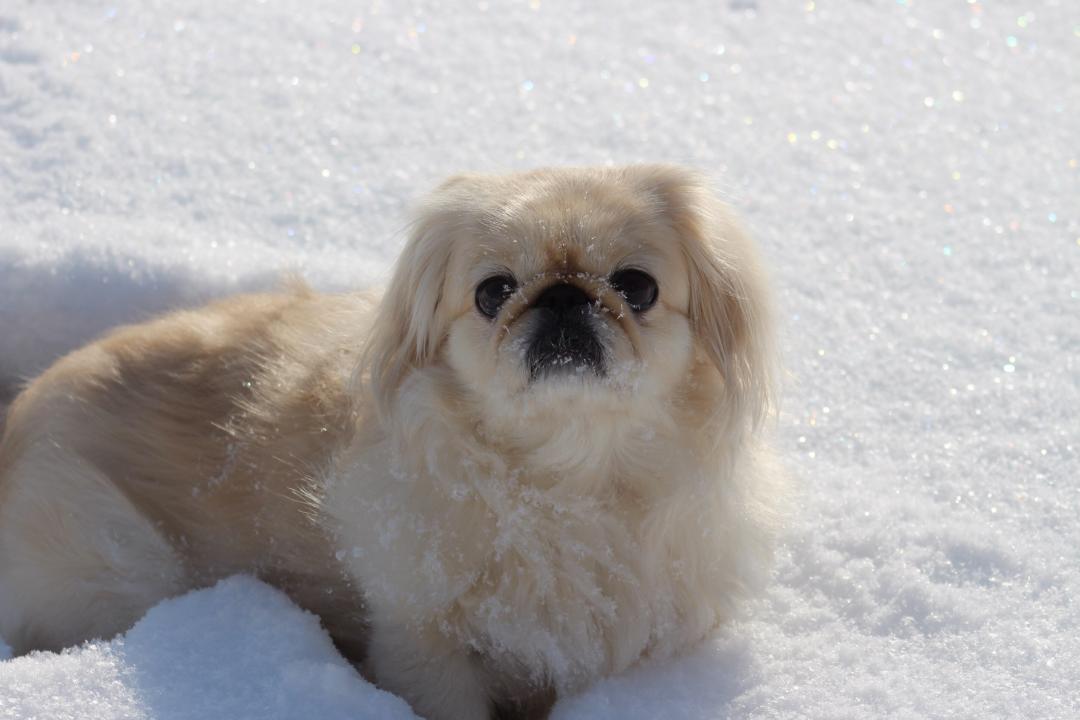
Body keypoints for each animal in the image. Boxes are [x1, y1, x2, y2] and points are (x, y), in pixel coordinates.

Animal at [0, 165, 784, 719]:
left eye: (637, 286)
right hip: (118, 570)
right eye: (493, 292)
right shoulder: (423, 645)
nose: (562, 294)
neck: (562, 483)